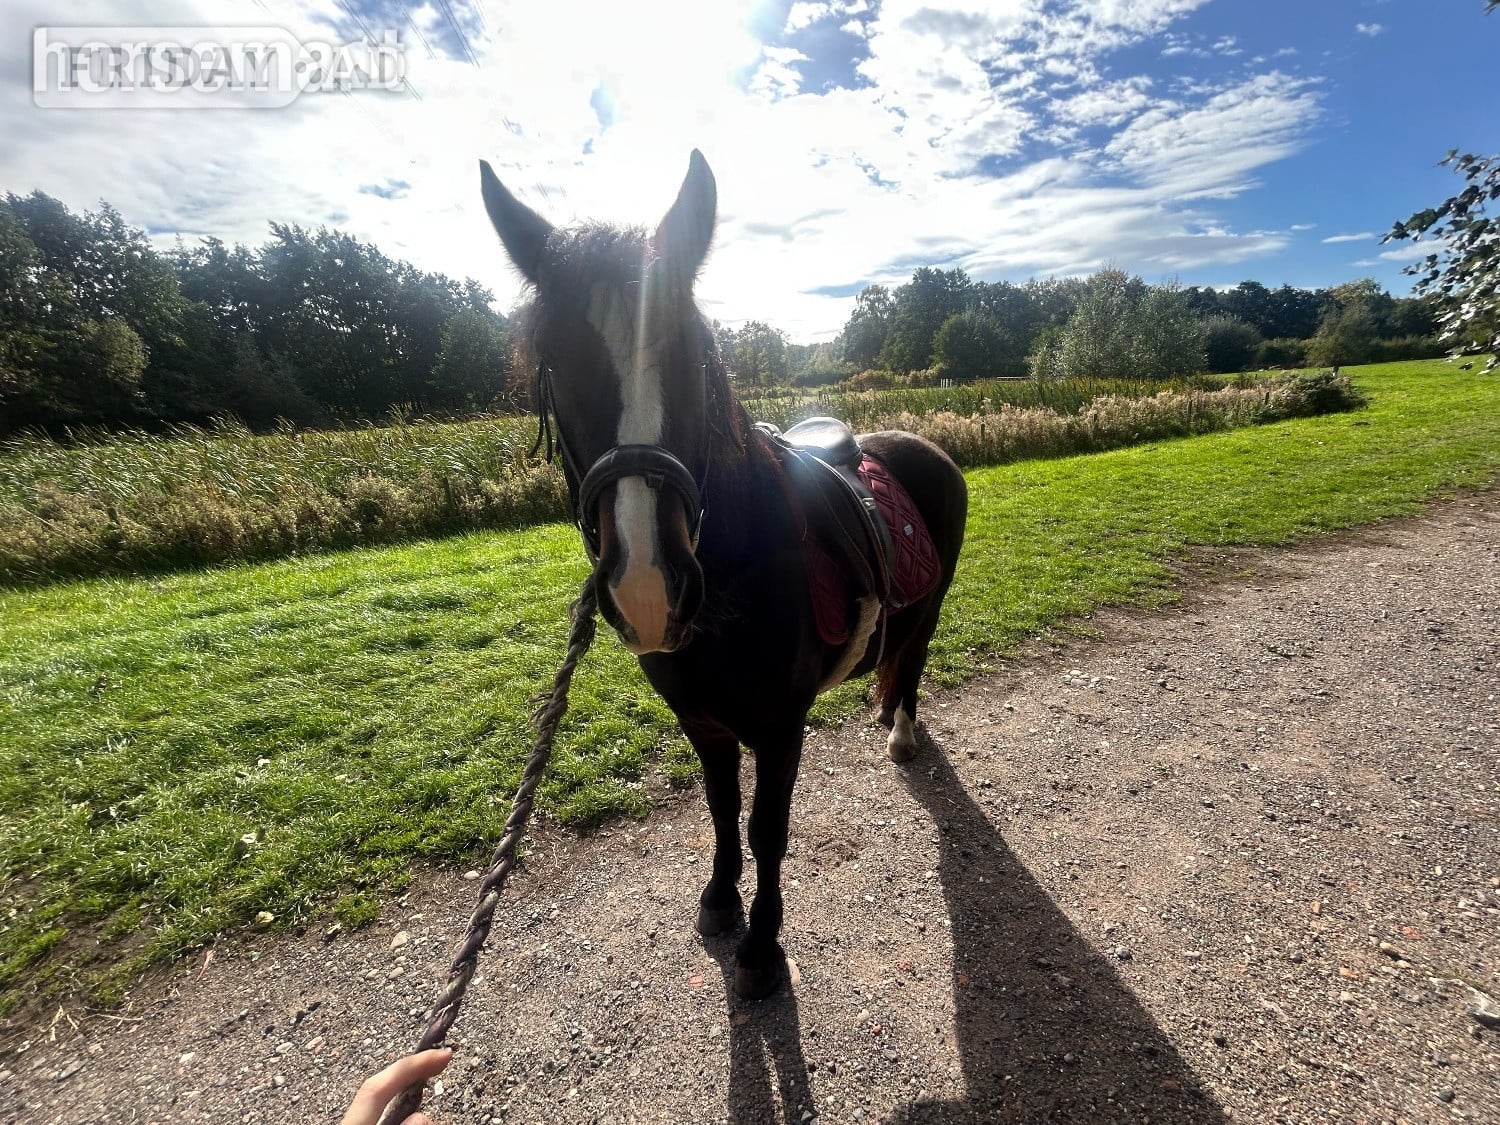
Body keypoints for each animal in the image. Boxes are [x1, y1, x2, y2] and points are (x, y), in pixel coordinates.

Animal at [478, 150, 968, 1000]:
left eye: (691, 354)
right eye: (555, 364)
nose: (647, 584)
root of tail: (927, 445)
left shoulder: (779, 728)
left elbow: (766, 827)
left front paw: (764, 944)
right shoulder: (702, 723)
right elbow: (717, 806)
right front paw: (718, 896)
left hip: (929, 609)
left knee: (911, 663)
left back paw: (902, 732)